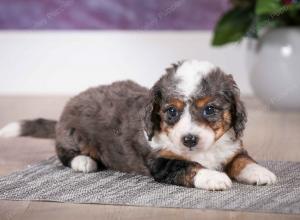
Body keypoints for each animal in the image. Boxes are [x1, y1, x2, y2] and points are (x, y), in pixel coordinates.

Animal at [0, 60, 276, 191]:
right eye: (171, 112)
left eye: (210, 109)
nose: (189, 139)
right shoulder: (161, 161)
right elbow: (189, 166)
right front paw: (214, 177)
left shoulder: (231, 147)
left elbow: (242, 160)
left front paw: (260, 172)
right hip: (72, 135)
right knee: (64, 154)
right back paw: (84, 161)